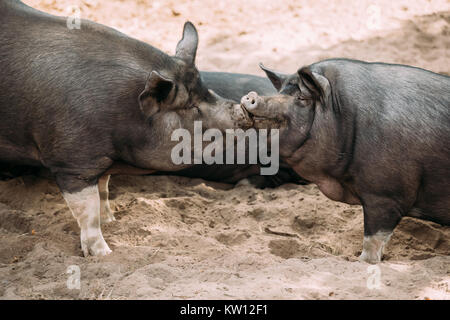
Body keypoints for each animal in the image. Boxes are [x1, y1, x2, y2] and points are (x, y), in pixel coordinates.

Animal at [243, 59, 450, 262]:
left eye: (302, 98)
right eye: (281, 92)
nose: (250, 96)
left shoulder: (385, 196)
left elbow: (372, 244)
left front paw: (362, 261)